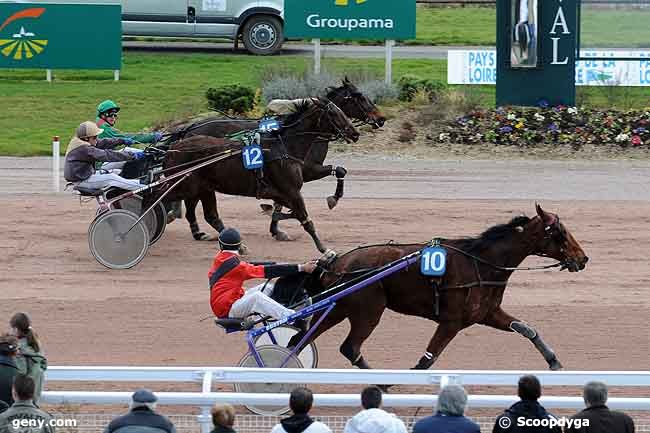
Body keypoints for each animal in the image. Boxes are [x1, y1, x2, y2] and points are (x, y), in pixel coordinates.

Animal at [165, 78, 384, 241]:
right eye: (359, 97)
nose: (381, 119)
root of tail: (189, 128)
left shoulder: (300, 172)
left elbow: (339, 170)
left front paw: (276, 226)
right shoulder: (303, 170)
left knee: (190, 202)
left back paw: (194, 229)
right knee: (188, 200)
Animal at [284, 206, 588, 372]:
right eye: (560, 233)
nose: (583, 258)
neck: (482, 262)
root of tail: (338, 262)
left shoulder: (487, 313)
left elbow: (527, 329)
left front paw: (553, 360)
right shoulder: (452, 321)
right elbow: (427, 359)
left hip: (339, 308)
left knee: (299, 339)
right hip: (368, 310)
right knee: (350, 347)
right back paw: (380, 383)